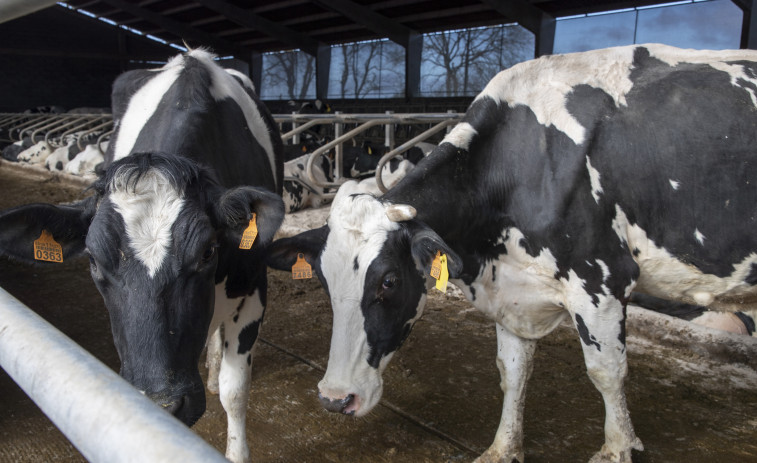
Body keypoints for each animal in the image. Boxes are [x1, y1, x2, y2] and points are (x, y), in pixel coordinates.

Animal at [268, 43, 756, 463]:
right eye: (324, 280)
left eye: (389, 280)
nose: (335, 398)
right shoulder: (511, 289)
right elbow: (512, 372)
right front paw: (503, 448)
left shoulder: (602, 281)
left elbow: (607, 372)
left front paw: (618, 448)